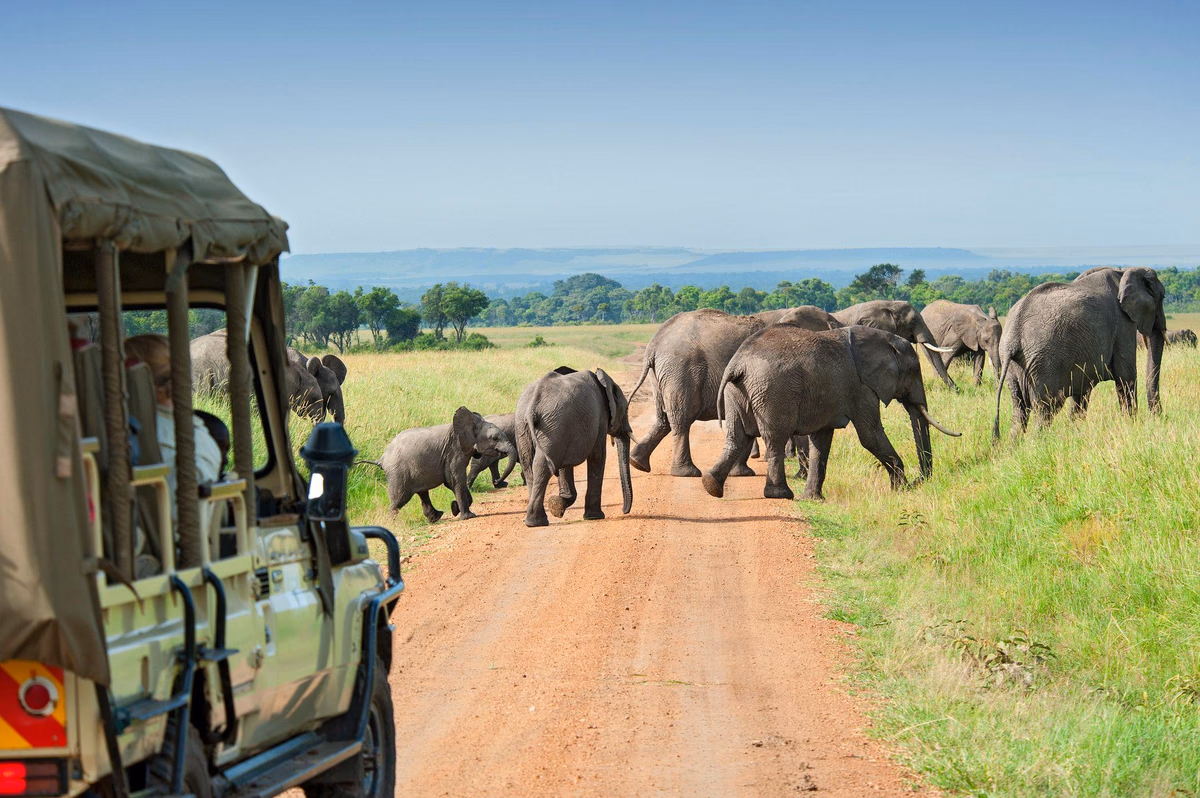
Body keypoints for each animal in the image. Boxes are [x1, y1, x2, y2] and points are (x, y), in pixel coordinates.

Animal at [379, 406, 514, 522]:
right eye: (495, 438)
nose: (496, 482)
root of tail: (383, 457)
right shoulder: (454, 451)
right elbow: (455, 481)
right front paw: (468, 516)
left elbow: (452, 483)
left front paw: (454, 508)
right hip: (398, 472)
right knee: (399, 500)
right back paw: (390, 524)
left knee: (422, 493)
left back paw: (436, 517)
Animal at [515, 366, 633, 528]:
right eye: (626, 409)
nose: (624, 511)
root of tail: (533, 403)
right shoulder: (600, 418)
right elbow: (598, 456)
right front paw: (594, 516)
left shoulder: (567, 430)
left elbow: (565, 465)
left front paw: (557, 505)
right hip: (551, 426)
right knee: (542, 466)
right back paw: (537, 522)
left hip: (529, 427)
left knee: (529, 466)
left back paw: (535, 521)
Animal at [627, 308, 768, 477]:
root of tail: (653, 345)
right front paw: (743, 473)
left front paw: (741, 473)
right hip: (681, 371)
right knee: (682, 418)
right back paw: (687, 472)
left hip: (661, 375)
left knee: (664, 418)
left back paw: (637, 462)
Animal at [702, 325, 960, 502]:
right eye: (914, 370)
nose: (919, 481)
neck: (883, 339)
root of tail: (738, 363)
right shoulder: (861, 388)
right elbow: (870, 435)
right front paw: (900, 490)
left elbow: (822, 440)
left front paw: (814, 499)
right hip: (772, 391)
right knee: (775, 438)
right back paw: (781, 494)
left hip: (737, 392)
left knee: (737, 437)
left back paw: (710, 485)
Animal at [993, 266, 1166, 437]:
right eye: (1163, 297)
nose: (1158, 417)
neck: (1123, 272)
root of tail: (1014, 335)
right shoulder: (1123, 324)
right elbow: (1126, 377)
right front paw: (1131, 426)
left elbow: (1081, 392)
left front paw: (1075, 431)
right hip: (1043, 363)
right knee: (1046, 409)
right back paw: (1039, 441)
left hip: (1015, 366)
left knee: (1019, 411)